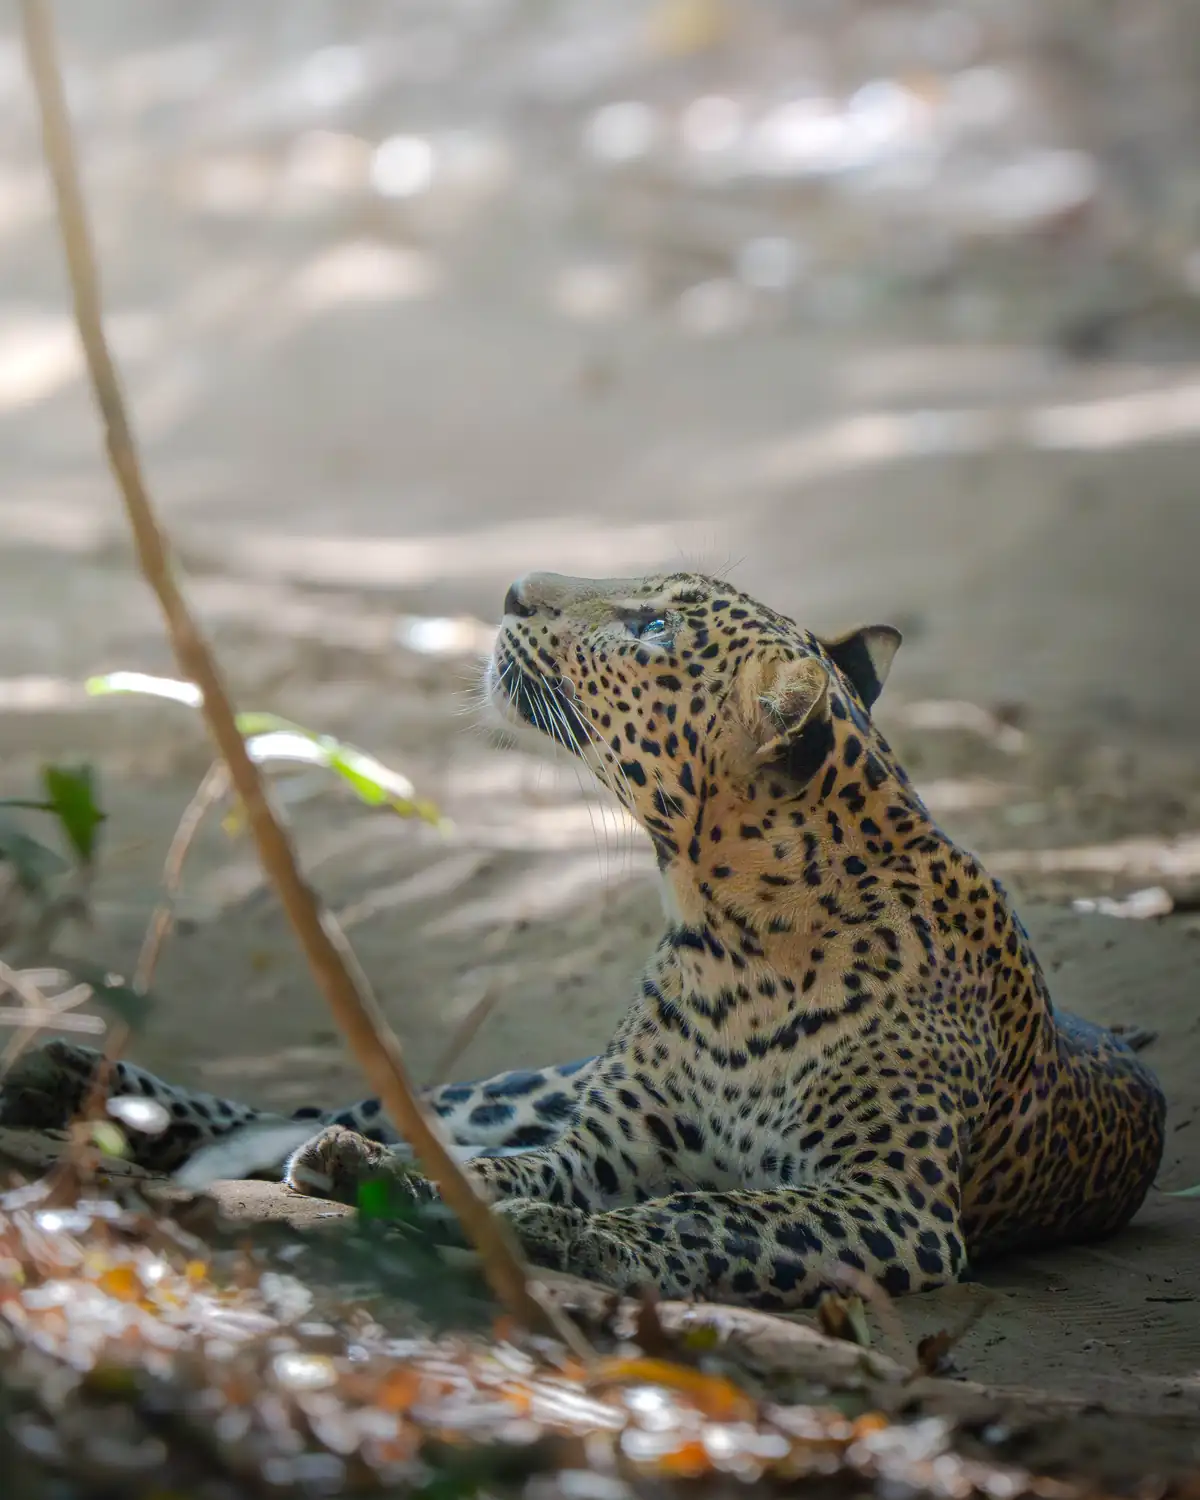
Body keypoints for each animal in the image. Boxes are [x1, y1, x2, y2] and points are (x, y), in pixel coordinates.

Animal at [0, 571, 1167, 1313]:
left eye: (651, 631)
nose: (518, 588)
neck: (731, 937)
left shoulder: (891, 1207)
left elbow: (708, 1213)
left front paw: (568, 1236)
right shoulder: (597, 1143)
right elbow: (501, 1169)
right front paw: (407, 1181)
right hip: (520, 1086)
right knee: (343, 1105)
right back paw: (86, 1083)